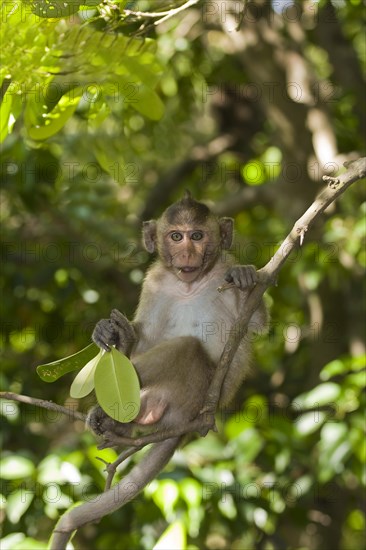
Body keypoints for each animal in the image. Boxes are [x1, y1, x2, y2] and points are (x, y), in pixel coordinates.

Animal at [87, 192, 268, 442]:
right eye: (176, 236)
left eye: (197, 236)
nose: (187, 253)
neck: (189, 286)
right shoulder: (154, 282)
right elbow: (148, 339)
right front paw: (110, 332)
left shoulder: (225, 268)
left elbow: (256, 323)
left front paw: (244, 278)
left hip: (193, 396)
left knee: (186, 348)